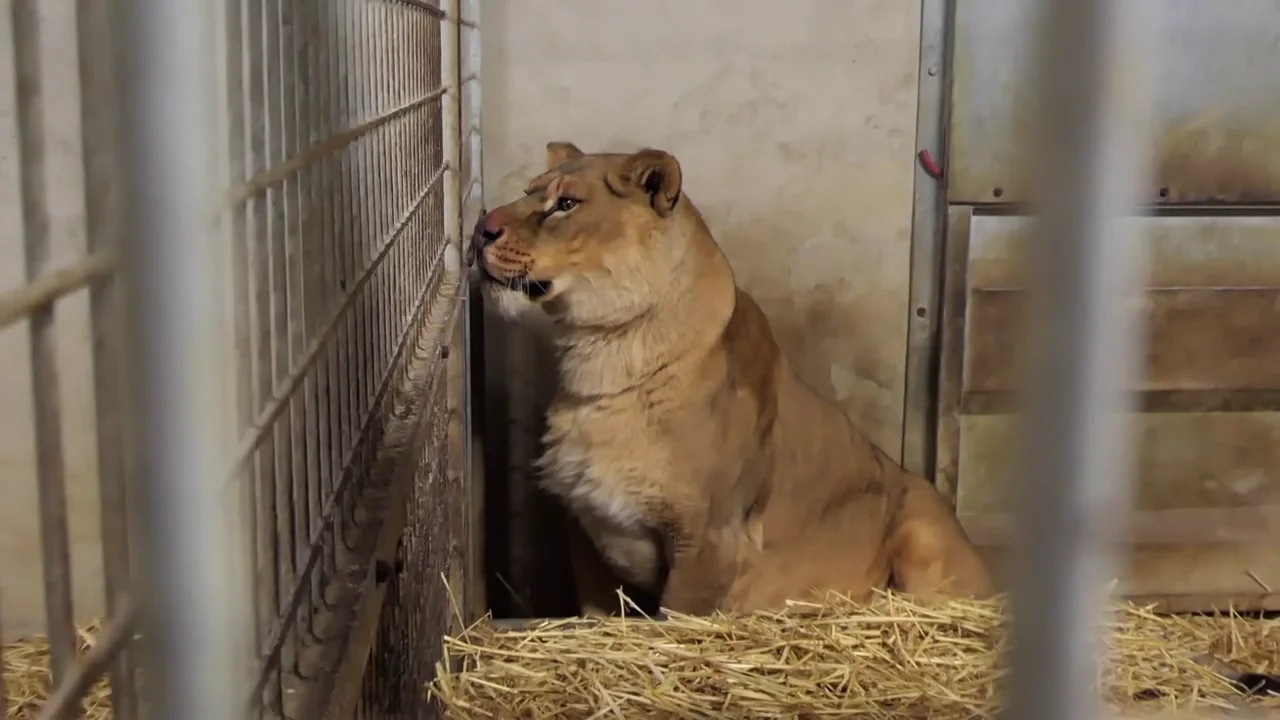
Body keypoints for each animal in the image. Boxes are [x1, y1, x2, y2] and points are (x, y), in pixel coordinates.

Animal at [470, 141, 993, 615]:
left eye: (566, 204)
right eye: (529, 192)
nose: (479, 229)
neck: (601, 357)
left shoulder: (711, 540)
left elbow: (675, 619)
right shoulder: (586, 529)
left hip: (921, 535)